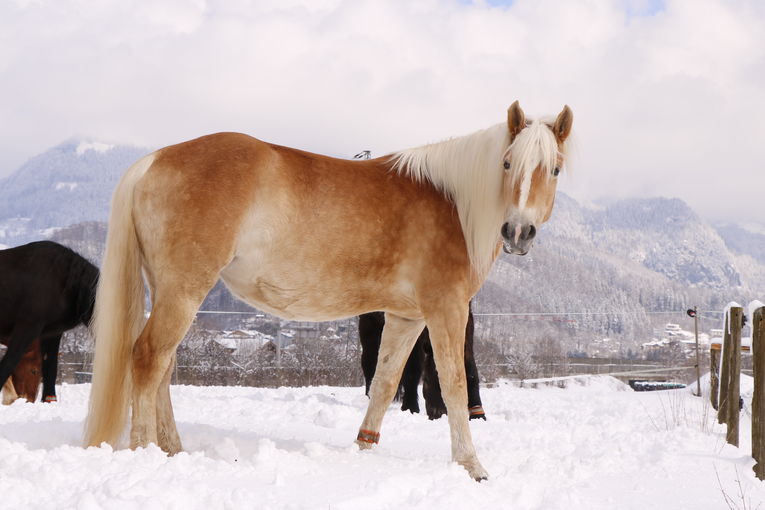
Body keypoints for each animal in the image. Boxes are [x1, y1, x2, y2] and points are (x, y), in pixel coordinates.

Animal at [85, 101, 572, 480]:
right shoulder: (445, 309)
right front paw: (472, 466)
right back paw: (144, 451)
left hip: (169, 289)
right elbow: (453, 386)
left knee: (164, 366)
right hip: (184, 289)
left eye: (554, 169)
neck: (452, 203)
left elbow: (385, 383)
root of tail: (154, 159)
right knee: (148, 359)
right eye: (507, 163)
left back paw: (173, 448)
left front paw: (363, 449)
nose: (518, 232)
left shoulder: (406, 317)